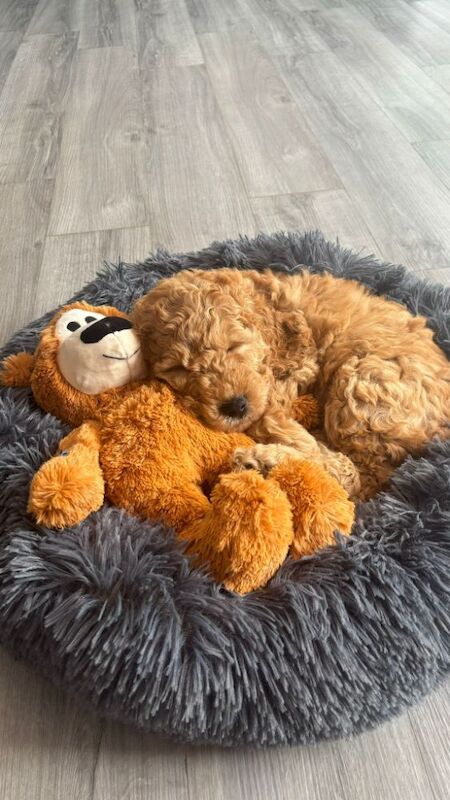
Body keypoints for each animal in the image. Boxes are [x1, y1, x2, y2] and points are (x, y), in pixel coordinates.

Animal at [134, 266, 450, 496]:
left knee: (357, 475)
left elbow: (274, 417)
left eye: (234, 346)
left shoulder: (300, 360)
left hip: (362, 381)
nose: (235, 406)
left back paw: (263, 460)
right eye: (177, 368)